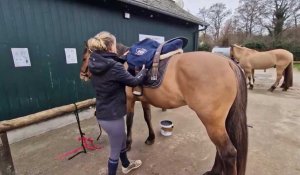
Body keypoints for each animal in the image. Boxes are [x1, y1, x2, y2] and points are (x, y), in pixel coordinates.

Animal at [79, 42, 248, 175]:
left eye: (84, 58)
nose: (82, 74)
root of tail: (228, 63)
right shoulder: (144, 100)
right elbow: (147, 117)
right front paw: (151, 138)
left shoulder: (129, 100)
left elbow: (130, 121)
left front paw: (128, 144)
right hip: (220, 122)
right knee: (221, 150)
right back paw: (213, 171)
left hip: (212, 122)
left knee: (228, 153)